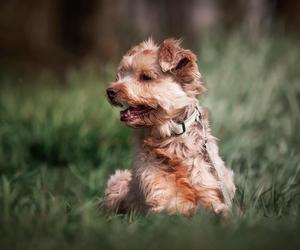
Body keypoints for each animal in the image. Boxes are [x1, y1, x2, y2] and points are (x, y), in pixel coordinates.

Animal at [104, 38, 236, 216]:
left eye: (145, 77)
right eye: (121, 75)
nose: (110, 91)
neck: (170, 141)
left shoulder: (211, 192)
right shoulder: (164, 199)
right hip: (117, 182)